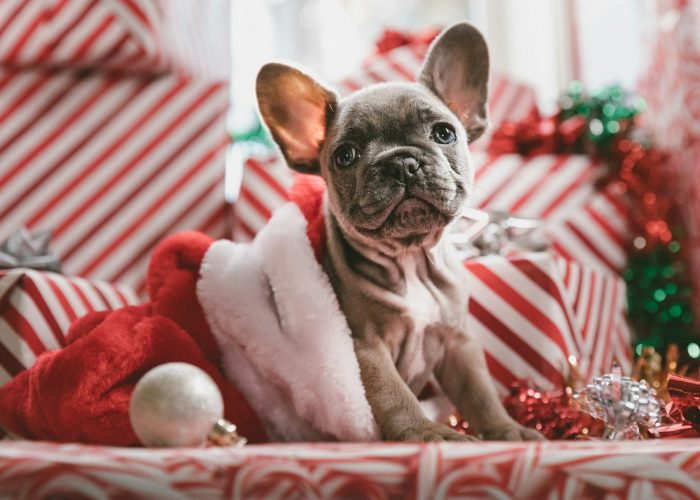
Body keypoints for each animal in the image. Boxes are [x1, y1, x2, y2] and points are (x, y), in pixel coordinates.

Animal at [254, 22, 544, 442]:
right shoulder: (366, 349)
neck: (410, 258)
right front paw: (429, 434)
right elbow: (395, 396)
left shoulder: (458, 343)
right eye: (345, 156)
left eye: (444, 134)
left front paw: (507, 430)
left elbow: (481, 393)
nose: (401, 163)